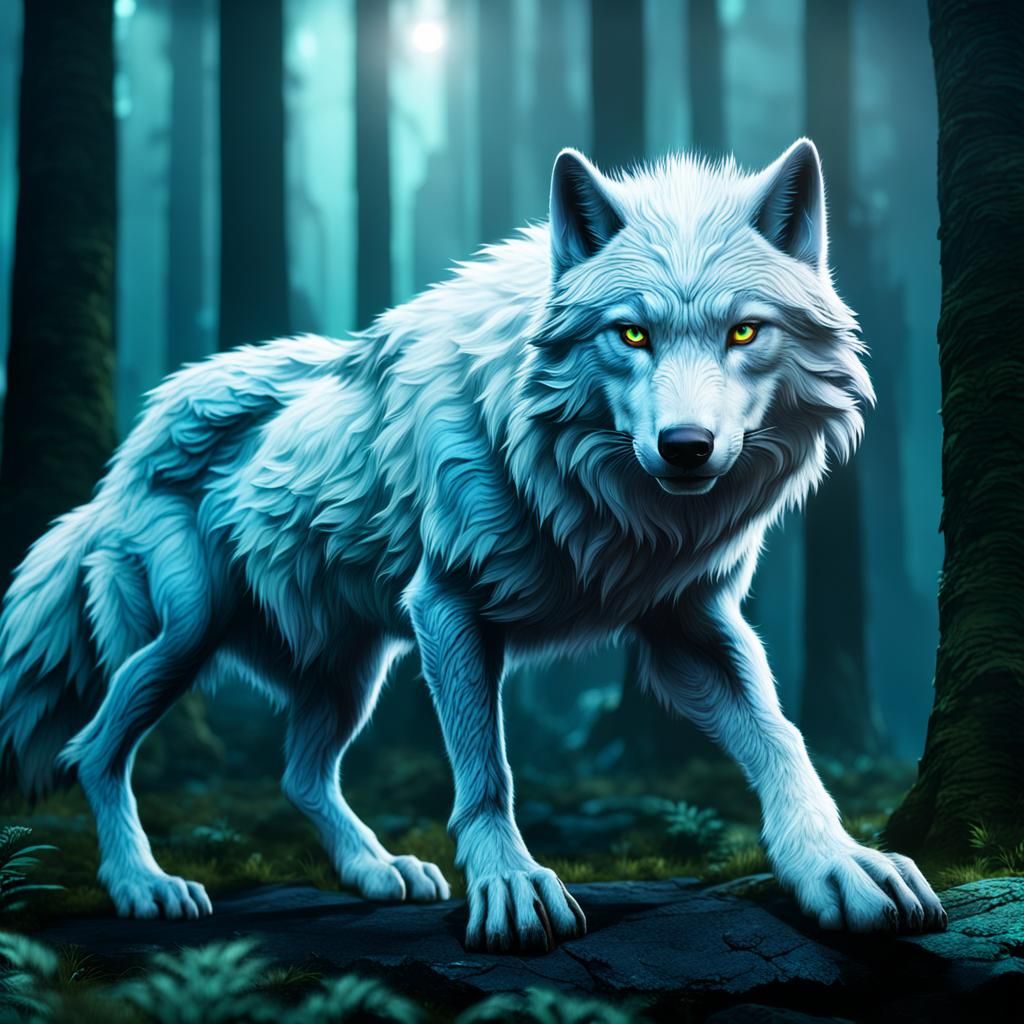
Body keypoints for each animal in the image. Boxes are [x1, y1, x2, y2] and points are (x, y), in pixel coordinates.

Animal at [0, 140, 945, 950]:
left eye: (744, 332)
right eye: (631, 333)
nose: (685, 447)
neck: (599, 504)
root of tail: (124, 453)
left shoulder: (687, 625)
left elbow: (784, 742)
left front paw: (839, 865)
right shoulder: (448, 605)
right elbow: (487, 773)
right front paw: (512, 888)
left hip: (351, 669)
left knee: (299, 773)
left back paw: (376, 870)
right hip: (190, 635)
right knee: (95, 749)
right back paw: (142, 884)